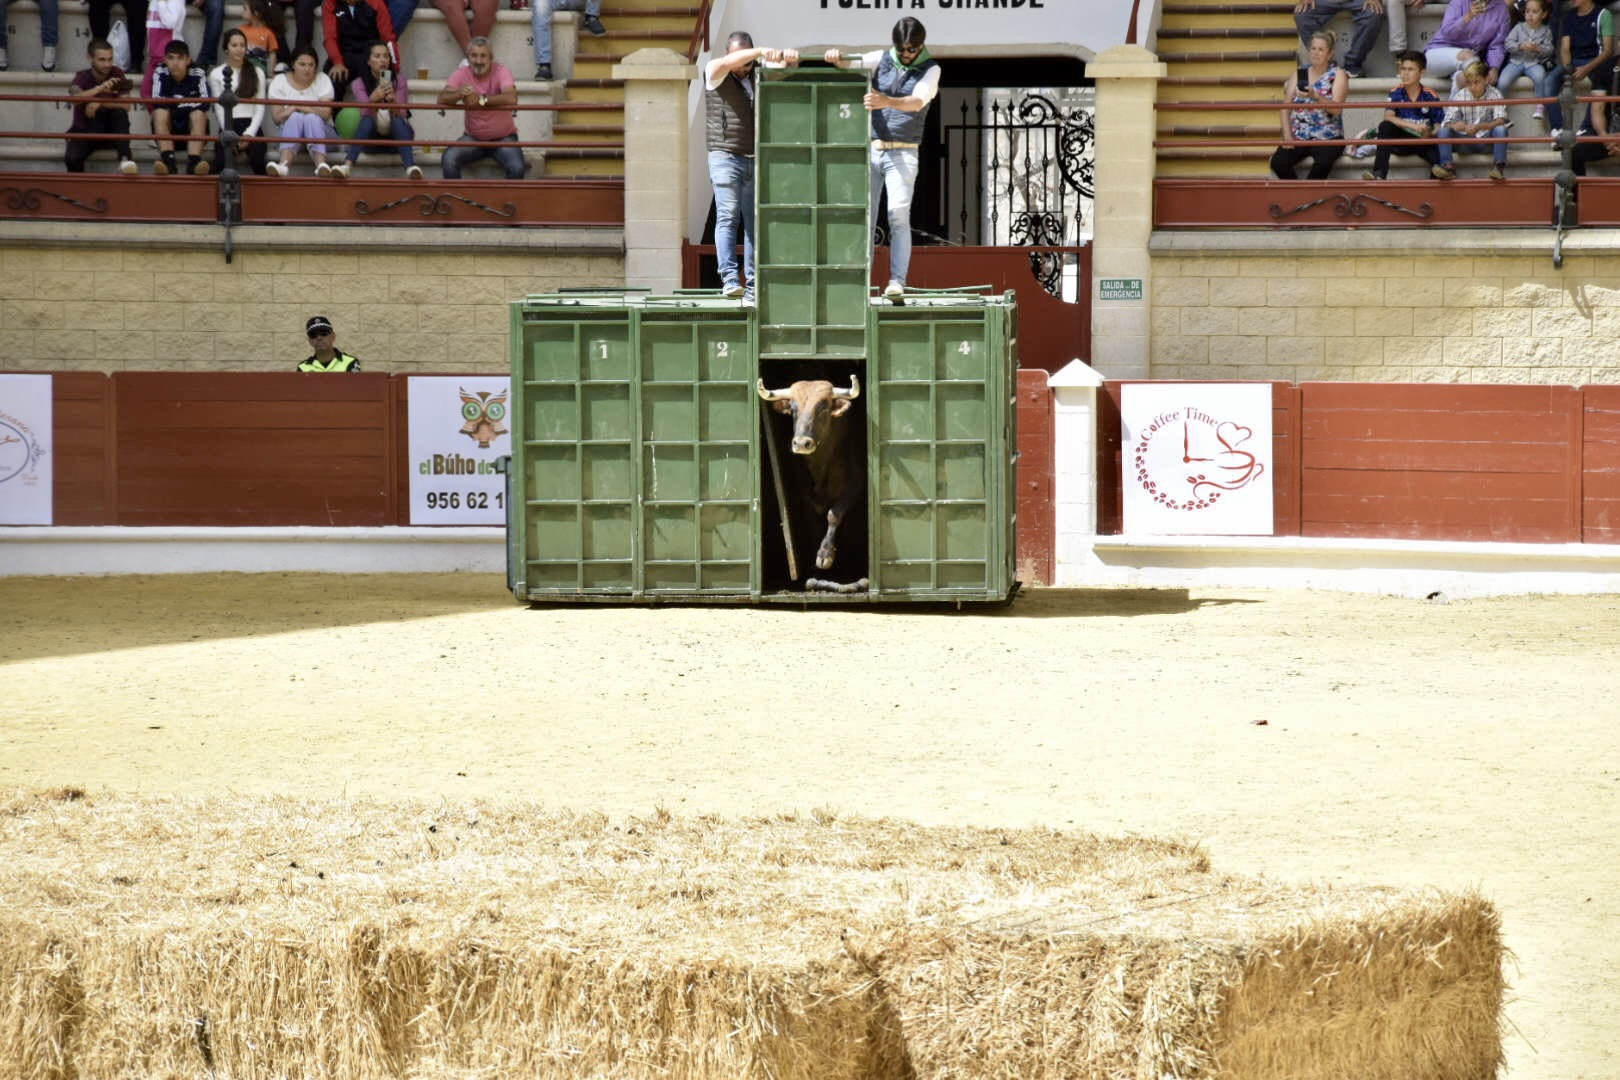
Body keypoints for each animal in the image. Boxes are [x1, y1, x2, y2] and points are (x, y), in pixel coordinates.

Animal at [756, 375, 863, 574]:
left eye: (823, 408)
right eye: (793, 409)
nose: (801, 443)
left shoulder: (855, 484)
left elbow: (834, 514)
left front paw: (825, 553)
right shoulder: (804, 493)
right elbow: (812, 521)